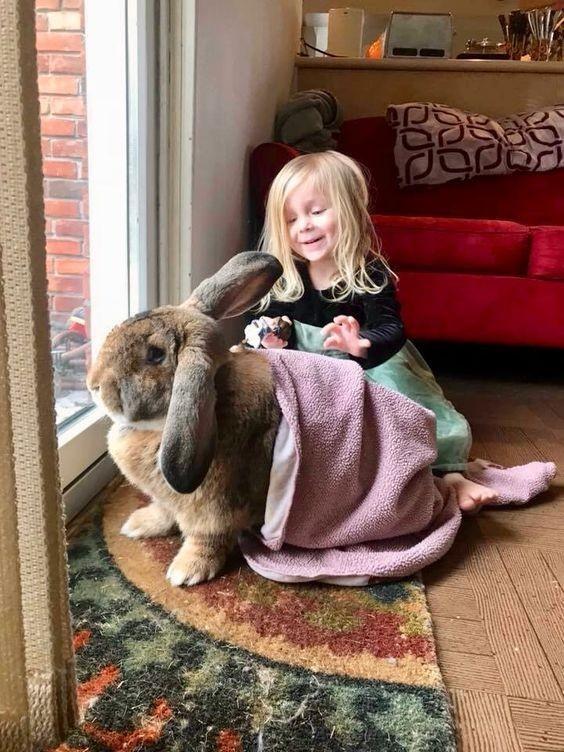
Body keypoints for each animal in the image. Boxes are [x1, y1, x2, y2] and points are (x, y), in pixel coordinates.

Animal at [87, 252, 284, 586]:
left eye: (155, 355)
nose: (93, 384)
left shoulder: (214, 514)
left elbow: (206, 540)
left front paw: (185, 572)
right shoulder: (168, 499)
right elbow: (163, 510)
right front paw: (138, 524)